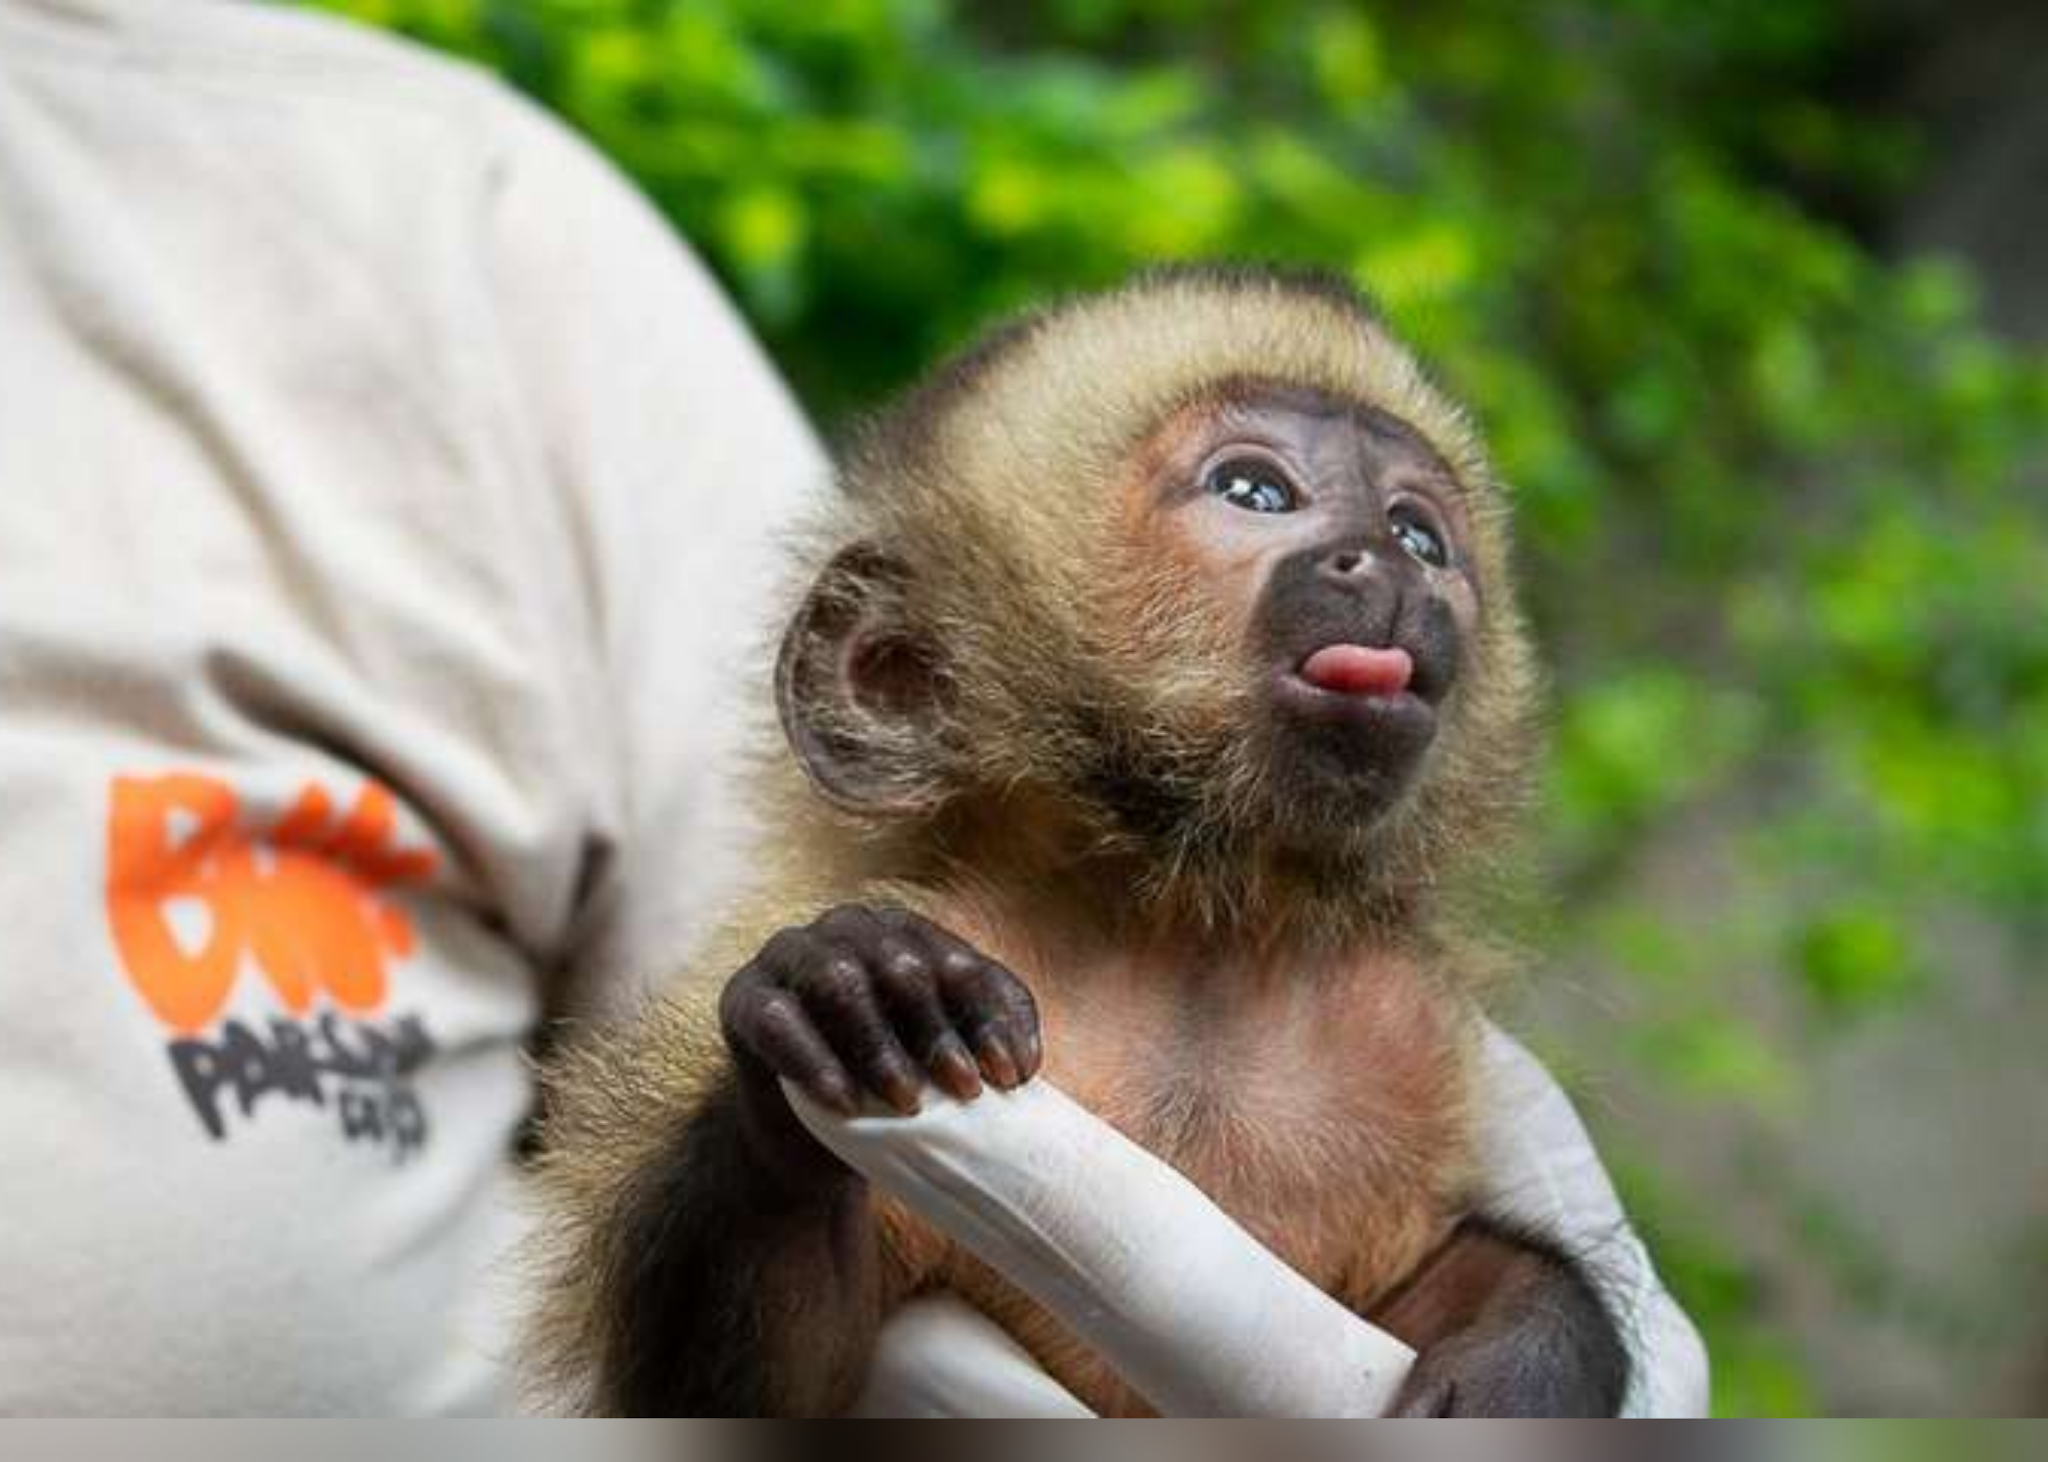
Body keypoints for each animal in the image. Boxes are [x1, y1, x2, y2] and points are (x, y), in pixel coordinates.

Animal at [524, 265, 1633, 1417]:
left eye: (1422, 536)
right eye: (1253, 492)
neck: (1183, 933)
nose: (1387, 564)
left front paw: (1526, 1355)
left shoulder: (1401, 1036)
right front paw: (850, 1002)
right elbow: (757, 1394)